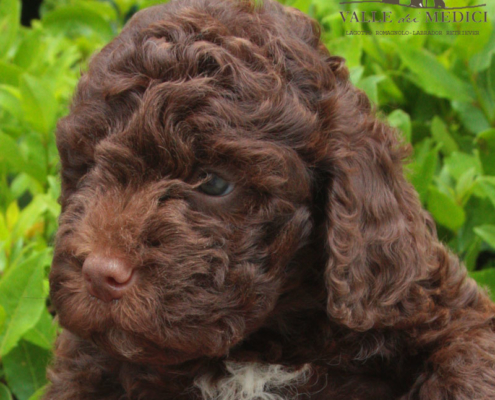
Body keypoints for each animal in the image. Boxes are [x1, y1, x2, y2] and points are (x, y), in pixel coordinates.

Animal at [45, 0, 495, 400]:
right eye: (87, 166)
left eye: (215, 183)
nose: (99, 274)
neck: (256, 348)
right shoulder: (87, 364)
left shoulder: (426, 304)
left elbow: (466, 361)